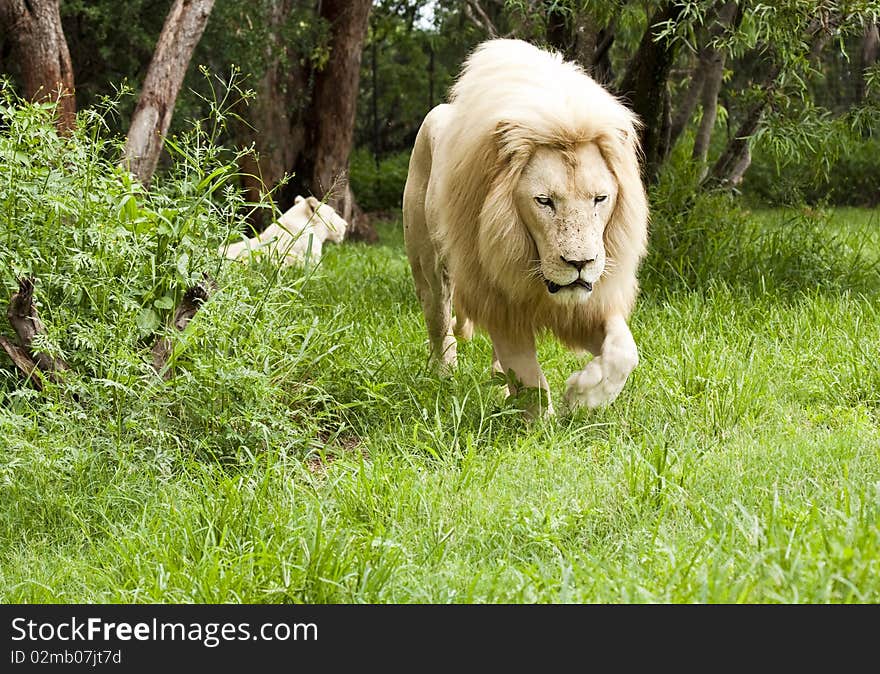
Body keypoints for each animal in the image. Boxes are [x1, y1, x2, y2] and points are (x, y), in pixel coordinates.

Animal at [402, 39, 648, 412]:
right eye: (544, 201)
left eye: (600, 199)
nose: (580, 264)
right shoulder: (498, 296)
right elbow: (530, 381)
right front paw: (546, 419)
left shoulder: (589, 304)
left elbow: (624, 352)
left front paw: (583, 396)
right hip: (429, 268)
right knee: (440, 323)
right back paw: (444, 376)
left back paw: (499, 387)